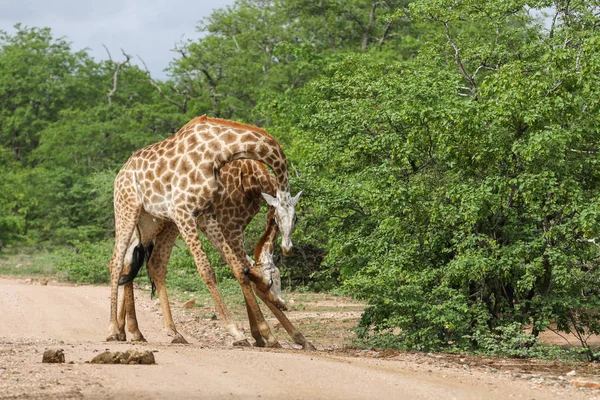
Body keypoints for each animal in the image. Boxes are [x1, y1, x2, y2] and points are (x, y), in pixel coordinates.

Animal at [108, 115, 300, 346]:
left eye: (296, 218)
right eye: (280, 218)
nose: (287, 247)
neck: (218, 151)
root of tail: (121, 172)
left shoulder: (206, 215)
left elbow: (239, 269)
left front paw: (267, 335)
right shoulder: (190, 213)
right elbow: (208, 270)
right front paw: (241, 333)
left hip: (150, 221)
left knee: (143, 263)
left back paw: (147, 332)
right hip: (128, 210)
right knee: (117, 261)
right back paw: (114, 330)